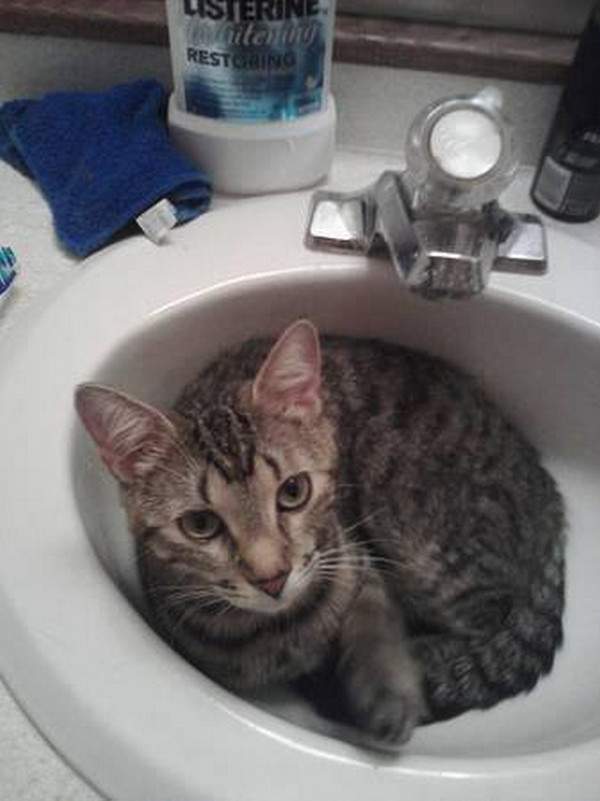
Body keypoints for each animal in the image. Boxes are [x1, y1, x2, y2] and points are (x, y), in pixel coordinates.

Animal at [76, 318, 568, 752]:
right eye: (200, 525)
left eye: (294, 492)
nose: (272, 577)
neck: (279, 632)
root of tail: (548, 494)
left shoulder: (357, 560)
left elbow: (373, 624)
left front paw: (388, 686)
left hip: (425, 542)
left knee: (492, 614)